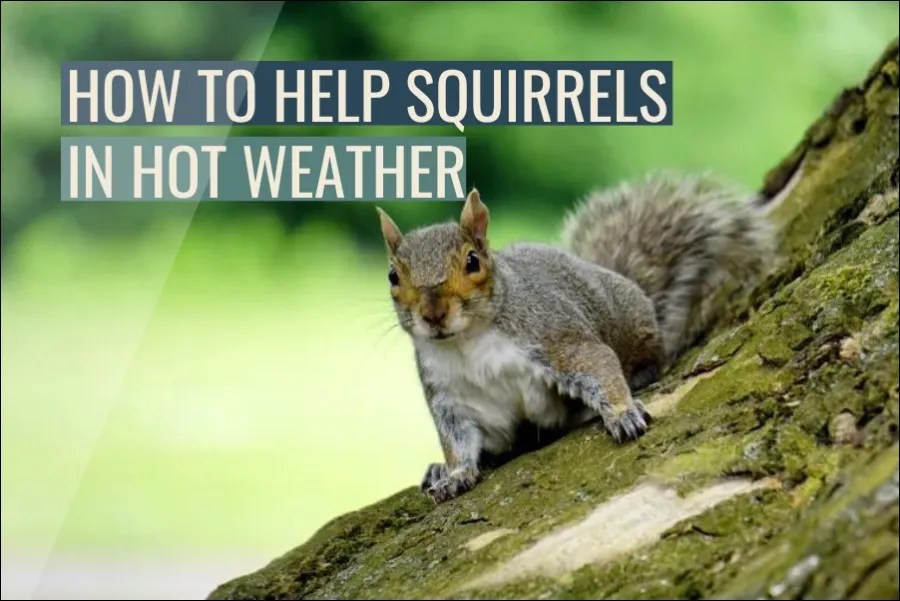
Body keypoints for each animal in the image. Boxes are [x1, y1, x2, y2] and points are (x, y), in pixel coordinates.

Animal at [375, 171, 774, 504]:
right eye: (393, 276)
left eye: (473, 261)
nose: (433, 314)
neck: (467, 342)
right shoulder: (451, 396)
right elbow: (457, 440)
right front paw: (455, 474)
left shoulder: (555, 337)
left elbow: (597, 363)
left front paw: (623, 414)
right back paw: (437, 469)